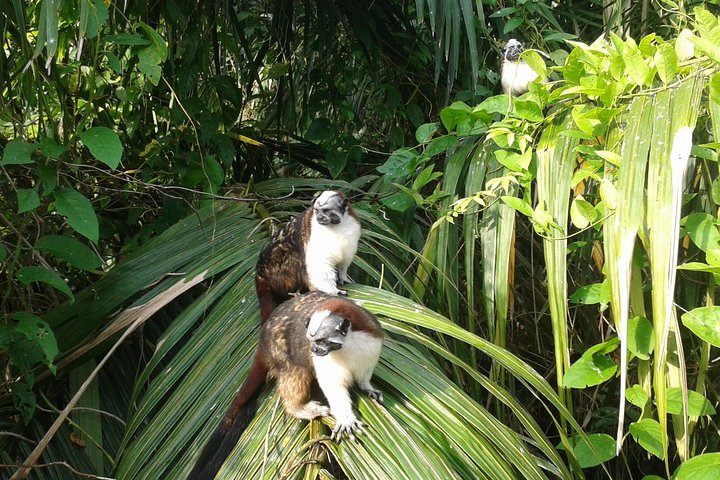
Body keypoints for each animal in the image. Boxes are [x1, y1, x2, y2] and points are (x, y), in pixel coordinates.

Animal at [187, 291, 383, 480]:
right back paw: (298, 407)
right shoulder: (325, 361)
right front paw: (345, 417)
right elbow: (332, 385)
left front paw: (367, 387)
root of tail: (264, 338)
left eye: (320, 341)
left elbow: (366, 371)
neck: (347, 346)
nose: (313, 349)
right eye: (311, 340)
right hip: (279, 350)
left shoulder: (372, 340)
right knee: (295, 371)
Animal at [255, 190, 361, 322]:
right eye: (317, 211)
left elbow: (344, 261)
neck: (336, 226)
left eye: (326, 210)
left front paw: (343, 277)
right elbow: (319, 264)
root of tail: (260, 272)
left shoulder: (352, 226)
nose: (319, 217)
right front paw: (331, 290)